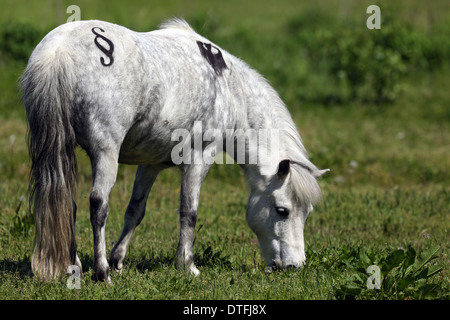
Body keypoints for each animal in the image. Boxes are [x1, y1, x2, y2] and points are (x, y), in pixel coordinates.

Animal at [20, 18, 326, 282]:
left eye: (307, 212)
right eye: (282, 210)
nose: (294, 265)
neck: (230, 88)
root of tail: (60, 51)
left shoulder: (150, 164)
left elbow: (135, 210)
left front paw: (119, 259)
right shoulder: (201, 157)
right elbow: (189, 212)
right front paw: (186, 265)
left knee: (67, 205)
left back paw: (77, 265)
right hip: (106, 153)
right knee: (98, 205)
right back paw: (101, 271)